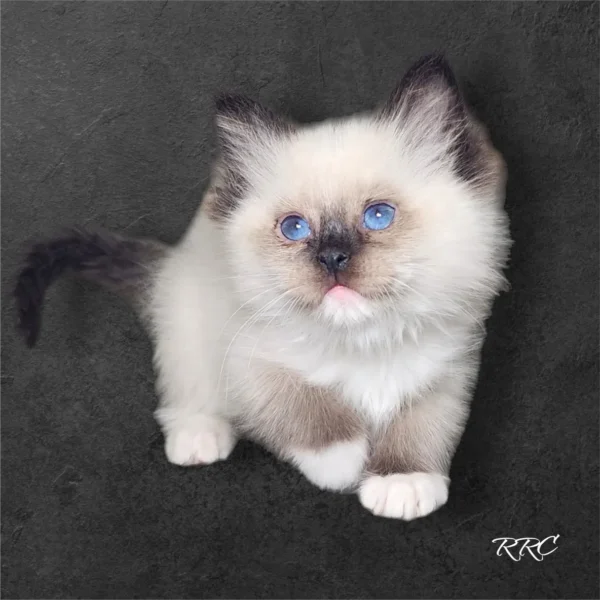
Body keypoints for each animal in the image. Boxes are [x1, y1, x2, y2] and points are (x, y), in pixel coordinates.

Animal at [15, 56, 510, 520]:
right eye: (294, 228)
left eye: (378, 216)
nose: (332, 258)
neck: (363, 344)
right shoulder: (250, 363)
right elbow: (304, 409)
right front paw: (343, 465)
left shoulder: (447, 371)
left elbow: (423, 426)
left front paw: (401, 482)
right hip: (189, 330)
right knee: (183, 395)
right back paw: (198, 438)